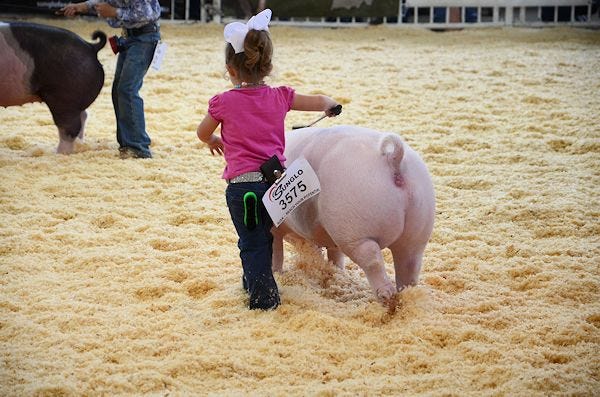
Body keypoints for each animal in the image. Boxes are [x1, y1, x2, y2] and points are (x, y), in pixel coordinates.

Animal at [274, 127, 436, 304]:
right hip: (419, 228)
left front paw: (277, 273)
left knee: (371, 258)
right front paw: (335, 270)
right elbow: (334, 254)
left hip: (353, 229)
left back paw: (385, 296)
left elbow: (276, 252)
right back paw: (406, 295)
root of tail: (391, 158)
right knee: (410, 263)